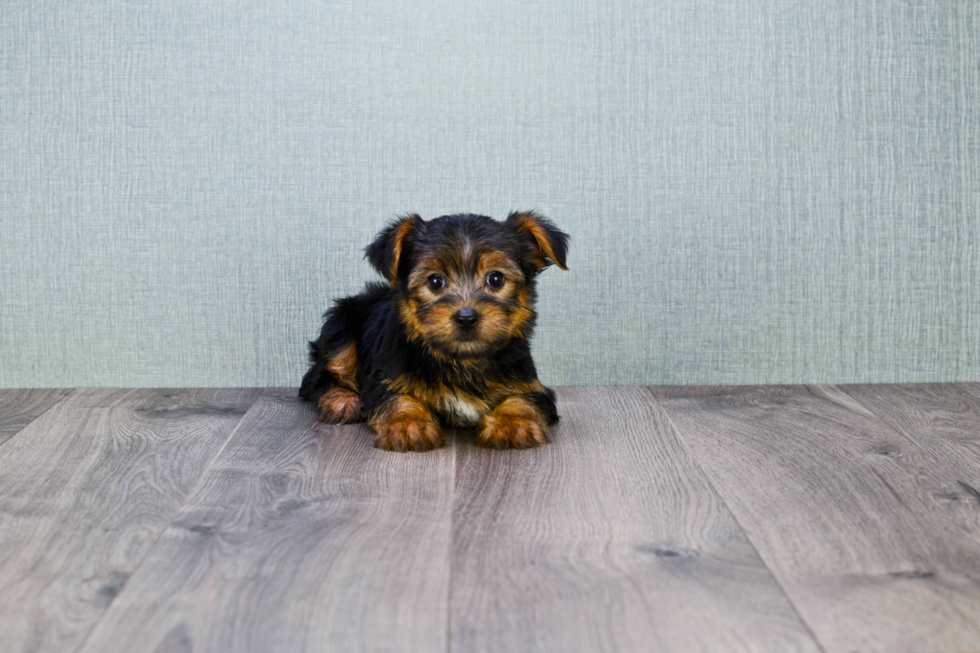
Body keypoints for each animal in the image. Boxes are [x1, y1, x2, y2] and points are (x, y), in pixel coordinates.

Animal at [296, 211, 568, 450]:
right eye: (435, 281)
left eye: (496, 279)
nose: (466, 318)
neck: (461, 361)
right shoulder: (384, 379)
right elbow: (396, 398)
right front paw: (408, 424)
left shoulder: (530, 384)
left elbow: (524, 399)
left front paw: (512, 424)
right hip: (341, 324)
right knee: (320, 376)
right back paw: (341, 399)